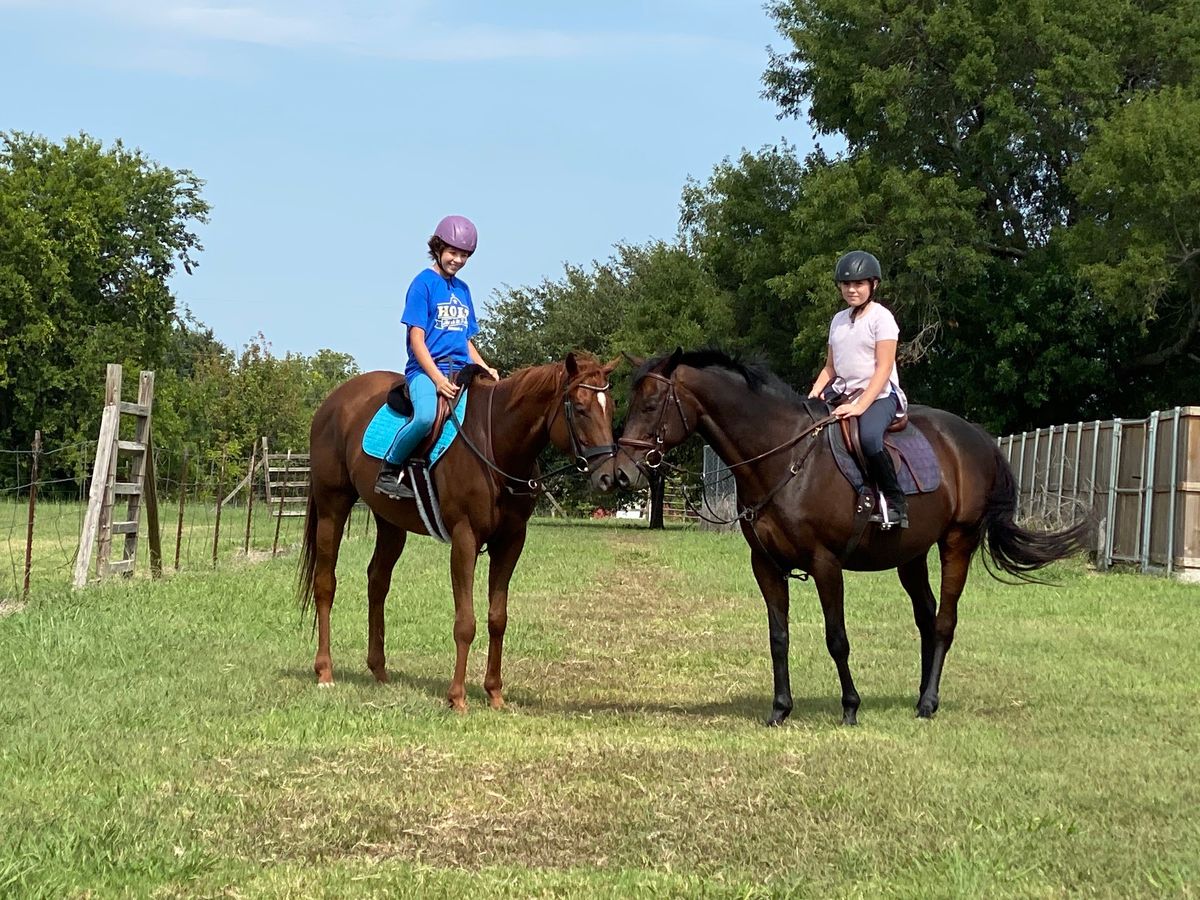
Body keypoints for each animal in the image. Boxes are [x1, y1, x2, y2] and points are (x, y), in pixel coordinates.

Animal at [300, 352, 619, 710]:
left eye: (611, 407)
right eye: (579, 408)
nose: (608, 476)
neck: (494, 441)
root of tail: (332, 403)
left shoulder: (511, 542)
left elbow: (498, 618)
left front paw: (495, 693)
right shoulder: (465, 539)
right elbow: (465, 622)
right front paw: (458, 697)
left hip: (390, 522)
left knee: (377, 582)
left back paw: (379, 671)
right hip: (332, 507)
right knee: (325, 584)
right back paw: (325, 671)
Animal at [614, 348, 1094, 729]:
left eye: (652, 403)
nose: (622, 472)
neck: (786, 459)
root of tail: (977, 438)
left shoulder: (826, 564)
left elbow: (836, 638)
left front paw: (850, 707)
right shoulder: (765, 565)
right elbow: (778, 637)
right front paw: (780, 709)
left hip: (957, 542)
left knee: (944, 622)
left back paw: (928, 703)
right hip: (910, 556)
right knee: (926, 618)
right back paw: (921, 696)